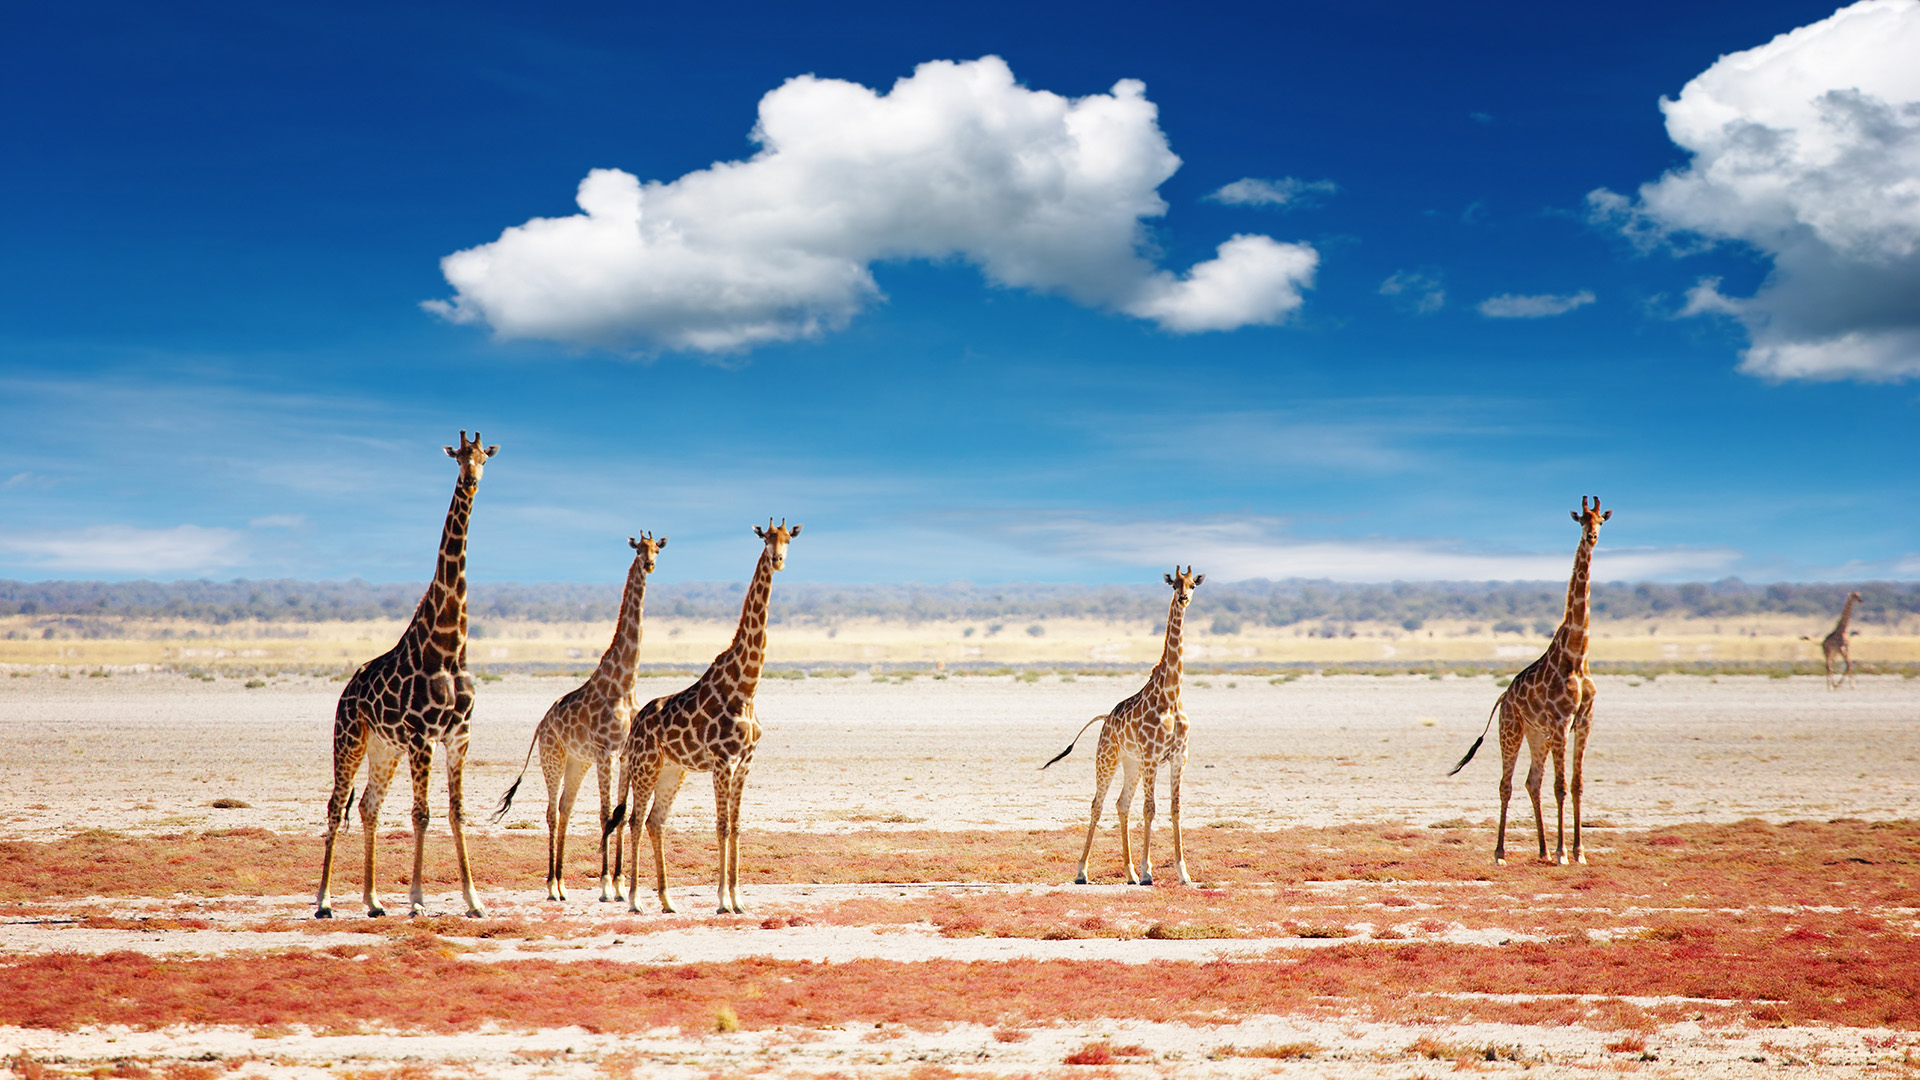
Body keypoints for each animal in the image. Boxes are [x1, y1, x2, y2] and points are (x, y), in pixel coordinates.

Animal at [316, 430, 499, 914]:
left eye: (483, 458)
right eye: (458, 457)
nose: (471, 481)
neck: (449, 648)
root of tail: (346, 691)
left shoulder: (458, 735)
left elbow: (456, 812)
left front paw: (474, 900)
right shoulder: (422, 736)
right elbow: (422, 814)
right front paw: (417, 899)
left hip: (384, 748)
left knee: (368, 806)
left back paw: (373, 900)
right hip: (350, 737)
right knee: (336, 803)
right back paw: (323, 900)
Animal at [495, 530, 668, 899]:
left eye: (658, 549)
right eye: (639, 549)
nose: (650, 564)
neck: (625, 683)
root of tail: (541, 725)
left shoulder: (624, 754)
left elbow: (621, 813)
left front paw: (619, 882)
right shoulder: (606, 752)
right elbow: (605, 814)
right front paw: (605, 884)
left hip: (577, 762)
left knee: (565, 808)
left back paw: (561, 883)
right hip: (553, 756)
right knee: (551, 811)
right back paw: (551, 884)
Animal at [606, 518, 802, 910]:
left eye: (789, 539)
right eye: (766, 539)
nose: (778, 560)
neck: (746, 688)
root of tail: (636, 727)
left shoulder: (745, 762)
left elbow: (737, 826)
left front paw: (738, 899)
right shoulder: (722, 762)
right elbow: (721, 826)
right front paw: (723, 899)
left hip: (672, 771)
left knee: (655, 822)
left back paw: (667, 900)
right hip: (645, 766)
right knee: (634, 820)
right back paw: (634, 899)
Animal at [1052, 564, 1198, 883]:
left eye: (1193, 584)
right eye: (1174, 584)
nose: (1183, 598)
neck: (1171, 695)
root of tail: (1106, 719)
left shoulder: (1179, 756)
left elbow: (1175, 808)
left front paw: (1183, 873)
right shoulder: (1152, 756)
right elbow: (1150, 809)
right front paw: (1147, 872)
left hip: (1131, 763)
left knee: (1122, 804)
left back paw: (1128, 872)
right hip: (1108, 757)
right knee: (1097, 804)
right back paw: (1082, 871)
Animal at [1443, 499, 1612, 864]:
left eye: (1601, 522)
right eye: (1582, 520)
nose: (1591, 537)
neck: (1577, 654)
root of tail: (1503, 697)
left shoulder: (1584, 720)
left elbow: (1576, 784)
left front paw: (1578, 852)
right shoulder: (1562, 721)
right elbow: (1560, 787)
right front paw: (1564, 853)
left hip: (1537, 735)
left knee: (1532, 781)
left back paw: (1543, 851)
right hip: (1512, 729)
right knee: (1506, 784)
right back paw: (1501, 852)